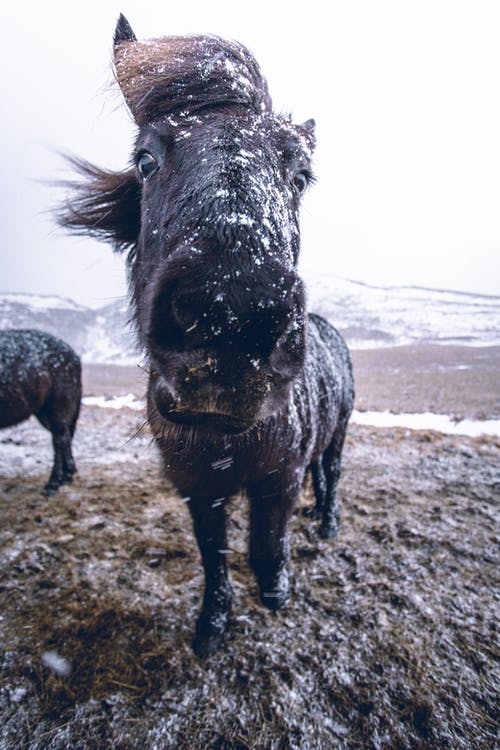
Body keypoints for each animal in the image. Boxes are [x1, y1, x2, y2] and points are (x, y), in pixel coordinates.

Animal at [0, 330, 81, 496]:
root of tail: (73, 355)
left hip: (56, 409)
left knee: (59, 441)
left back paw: (53, 484)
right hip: (45, 412)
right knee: (65, 439)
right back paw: (66, 477)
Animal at [59, 13, 356, 656]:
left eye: (301, 175)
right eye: (145, 159)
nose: (232, 318)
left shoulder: (278, 479)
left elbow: (266, 542)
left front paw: (275, 589)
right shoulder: (198, 489)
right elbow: (214, 554)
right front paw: (213, 622)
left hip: (339, 434)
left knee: (332, 474)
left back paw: (326, 524)